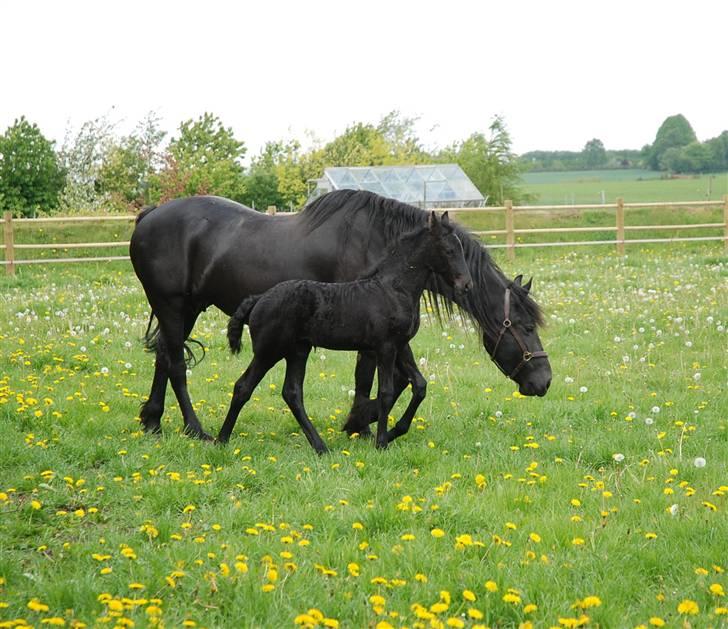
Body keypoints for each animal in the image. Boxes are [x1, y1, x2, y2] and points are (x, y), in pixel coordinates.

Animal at [218, 211, 472, 452]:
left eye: (460, 249)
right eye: (449, 250)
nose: (467, 285)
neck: (394, 289)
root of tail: (259, 298)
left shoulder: (401, 346)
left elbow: (419, 385)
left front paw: (391, 431)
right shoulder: (386, 347)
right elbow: (386, 393)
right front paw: (381, 442)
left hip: (298, 350)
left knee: (292, 393)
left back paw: (320, 447)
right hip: (269, 351)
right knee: (243, 387)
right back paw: (222, 440)